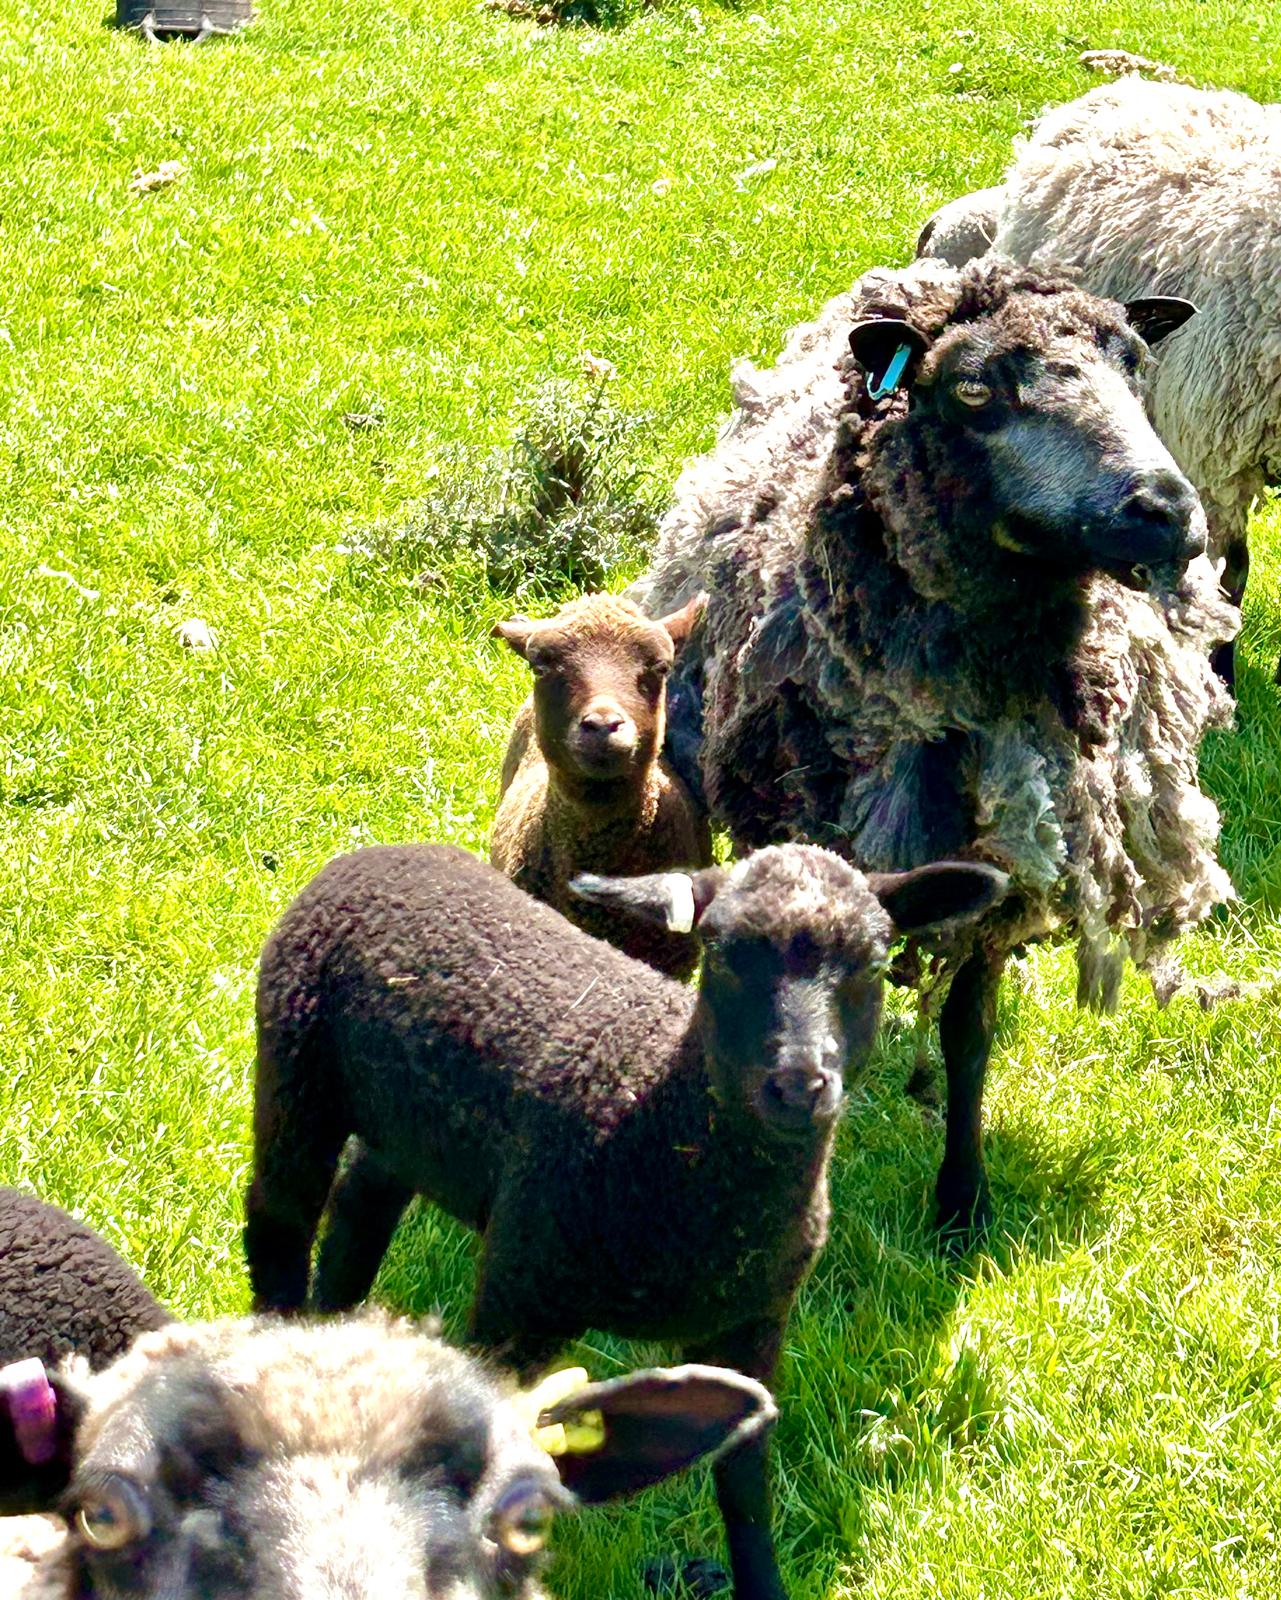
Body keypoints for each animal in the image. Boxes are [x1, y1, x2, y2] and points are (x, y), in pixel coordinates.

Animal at [244, 840, 1005, 1600]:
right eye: (720, 952)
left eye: (873, 961)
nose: (797, 1085)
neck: (659, 1118)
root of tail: (385, 851)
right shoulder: (517, 1292)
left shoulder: (755, 1323)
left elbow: (744, 1487)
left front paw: (762, 1584)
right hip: (297, 1077)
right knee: (277, 1229)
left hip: (407, 1130)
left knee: (359, 1204)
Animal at [628, 255, 1238, 1242]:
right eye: (972, 388)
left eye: (1134, 362)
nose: (1165, 510)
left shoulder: (1002, 877)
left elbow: (967, 1036)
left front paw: (962, 1201)